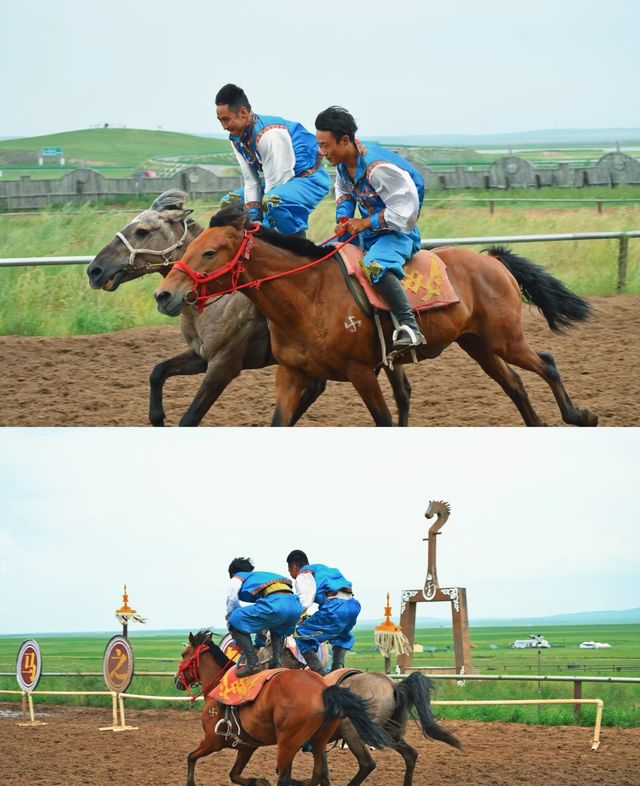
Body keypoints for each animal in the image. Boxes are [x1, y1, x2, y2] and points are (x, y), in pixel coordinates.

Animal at [87, 188, 412, 422]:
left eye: (142, 231)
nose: (94, 270)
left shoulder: (224, 365)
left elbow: (190, 418)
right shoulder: (201, 356)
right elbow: (157, 371)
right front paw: (156, 416)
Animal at [155, 205, 600, 426]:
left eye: (209, 252)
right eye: (189, 248)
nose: (164, 295)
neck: (309, 296)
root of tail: (491, 260)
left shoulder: (361, 372)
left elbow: (384, 420)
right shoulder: (291, 373)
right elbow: (279, 423)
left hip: (506, 339)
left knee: (547, 363)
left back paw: (580, 415)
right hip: (479, 345)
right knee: (516, 385)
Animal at [178, 628, 392, 786]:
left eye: (183, 654)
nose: (177, 680)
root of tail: (324, 689)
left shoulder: (212, 741)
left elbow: (191, 757)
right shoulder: (247, 746)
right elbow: (234, 774)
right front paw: (259, 781)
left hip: (292, 743)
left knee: (287, 777)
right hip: (319, 742)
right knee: (319, 773)